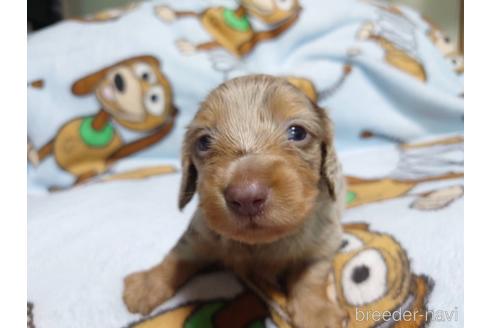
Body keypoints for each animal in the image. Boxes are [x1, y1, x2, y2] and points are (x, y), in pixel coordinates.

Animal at [123, 75, 346, 328]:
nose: (246, 197)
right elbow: (176, 257)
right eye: (204, 142)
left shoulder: (326, 238)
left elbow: (311, 273)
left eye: (297, 132)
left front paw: (316, 312)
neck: (261, 244)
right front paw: (148, 283)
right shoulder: (199, 234)